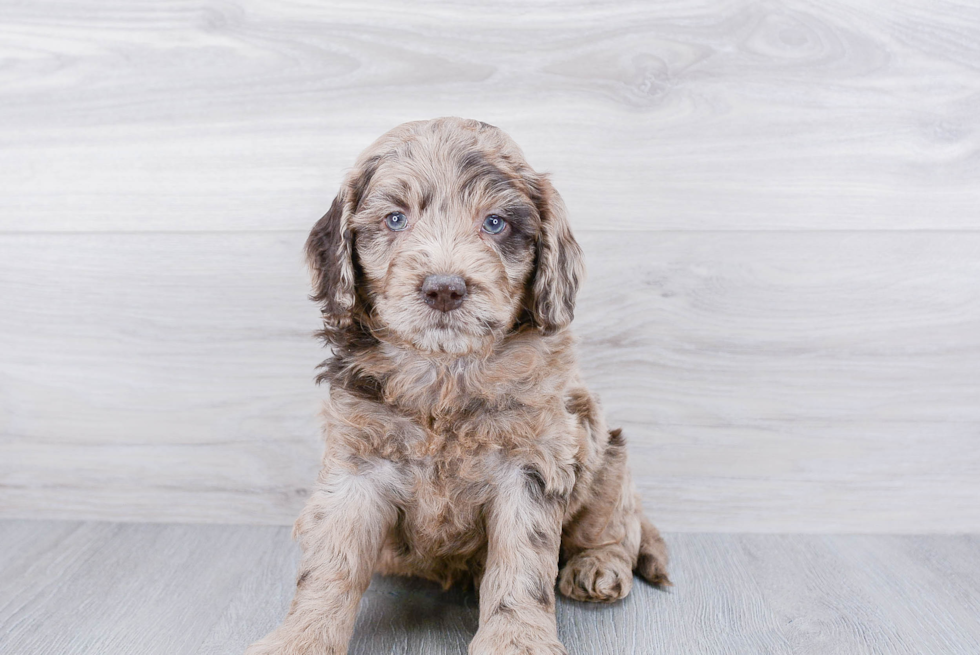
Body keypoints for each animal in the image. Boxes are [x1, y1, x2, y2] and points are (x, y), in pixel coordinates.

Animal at [249, 118, 668, 655]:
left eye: (495, 224)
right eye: (395, 219)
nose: (444, 288)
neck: (445, 373)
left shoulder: (531, 466)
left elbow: (522, 561)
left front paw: (515, 639)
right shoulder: (356, 466)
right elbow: (329, 563)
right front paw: (301, 637)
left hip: (606, 455)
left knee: (619, 525)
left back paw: (598, 566)